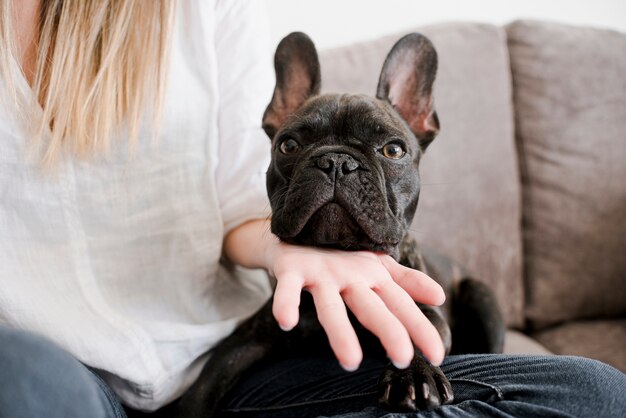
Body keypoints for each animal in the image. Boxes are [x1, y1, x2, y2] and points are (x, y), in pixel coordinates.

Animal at [177, 31, 502, 416]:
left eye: (393, 150)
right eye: (288, 145)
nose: (336, 161)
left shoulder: (426, 314)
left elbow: (414, 333)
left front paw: (413, 376)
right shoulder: (249, 338)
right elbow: (204, 384)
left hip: (483, 297)